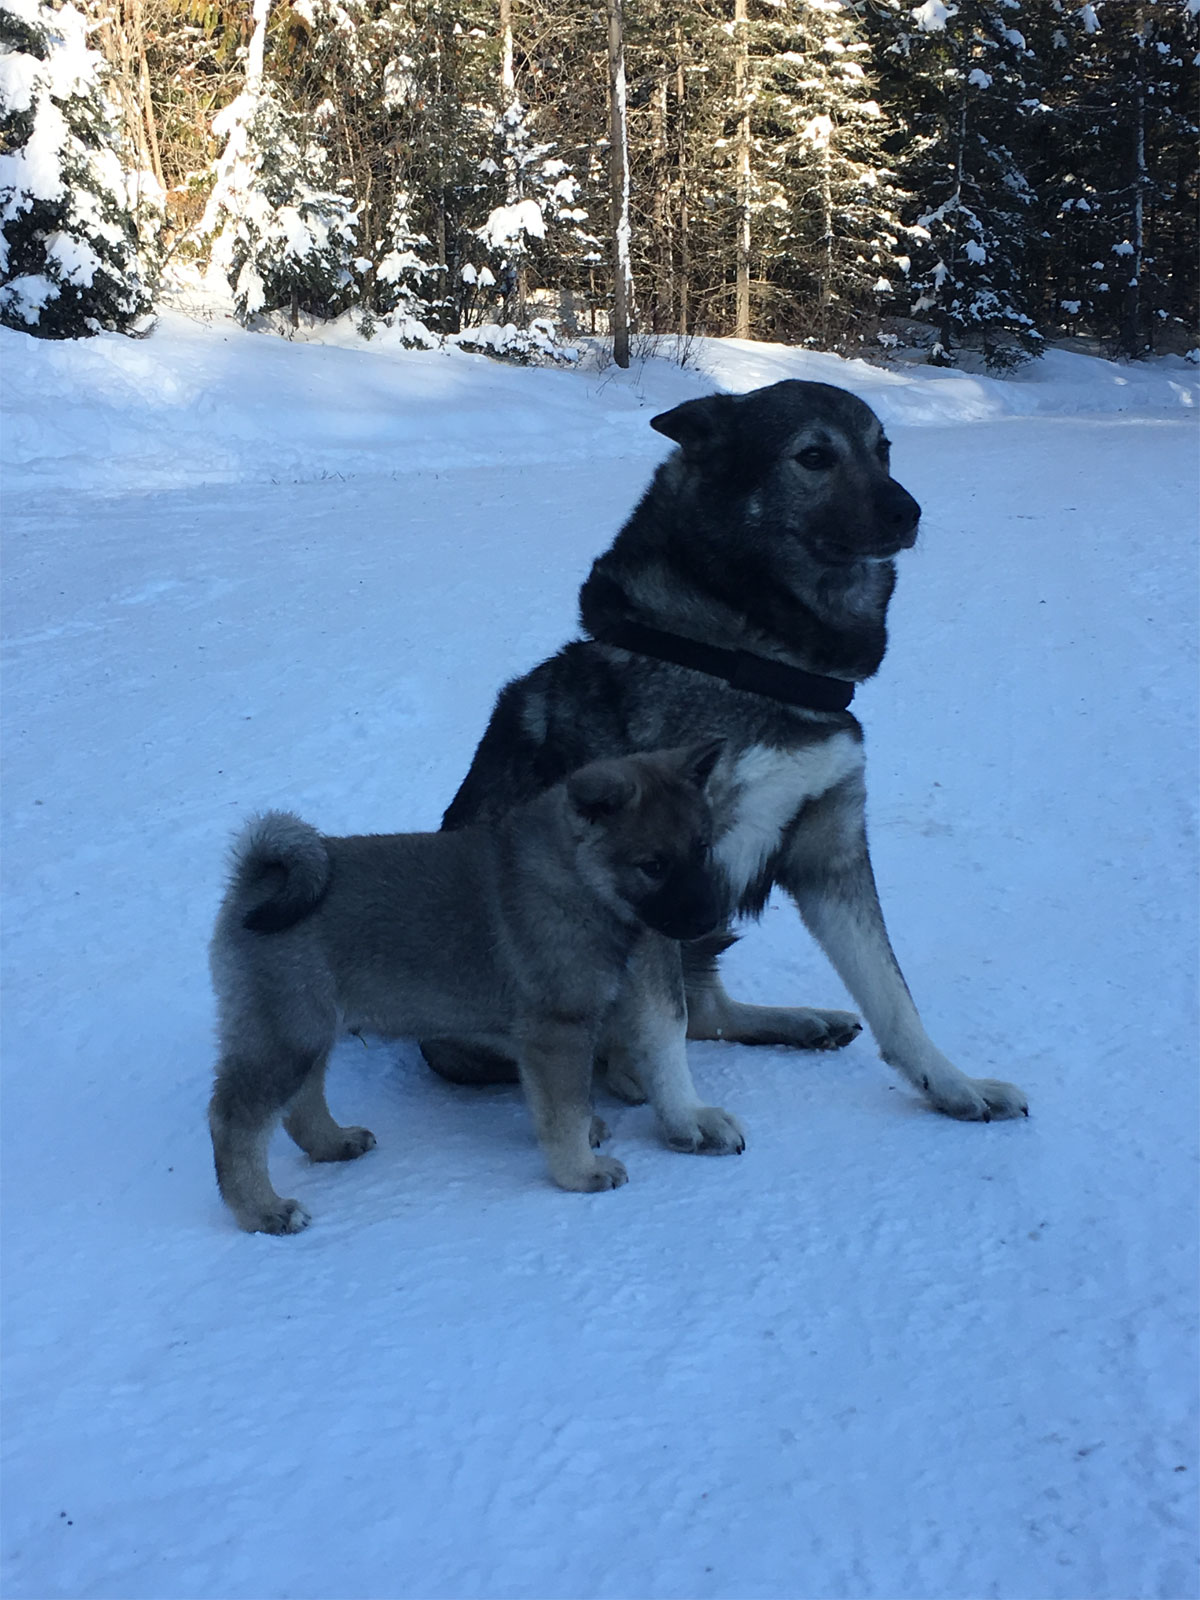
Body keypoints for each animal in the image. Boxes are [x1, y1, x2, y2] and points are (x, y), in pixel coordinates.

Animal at [211, 739, 748, 1235]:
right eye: (652, 866)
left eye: (702, 848)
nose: (709, 918)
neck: (577, 880)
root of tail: (257, 879)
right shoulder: (559, 1031)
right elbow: (569, 1111)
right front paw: (579, 1173)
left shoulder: (636, 994)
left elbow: (664, 1056)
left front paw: (686, 1119)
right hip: (288, 1032)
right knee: (234, 1120)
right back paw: (262, 1210)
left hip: (311, 1029)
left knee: (301, 1101)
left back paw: (331, 1143)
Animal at [432, 374, 1036, 1126]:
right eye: (813, 456)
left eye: (883, 450)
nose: (909, 512)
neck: (752, 658)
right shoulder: (658, 870)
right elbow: (662, 1019)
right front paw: (683, 1115)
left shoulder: (830, 849)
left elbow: (893, 995)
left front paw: (952, 1084)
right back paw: (625, 1076)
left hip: (708, 925)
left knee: (711, 1011)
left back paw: (798, 1023)